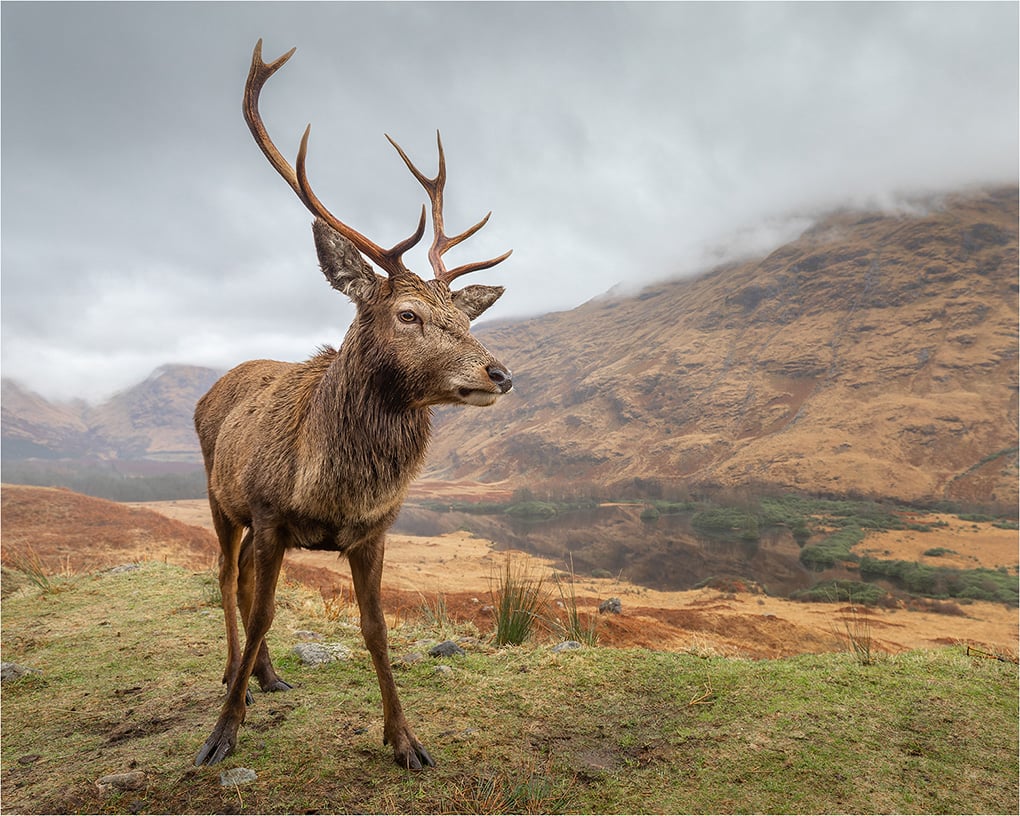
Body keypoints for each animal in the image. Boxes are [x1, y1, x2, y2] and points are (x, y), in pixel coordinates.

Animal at [193, 40, 513, 771]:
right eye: (407, 314)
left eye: (464, 315)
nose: (500, 372)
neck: (327, 488)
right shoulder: (270, 514)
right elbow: (265, 610)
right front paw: (221, 734)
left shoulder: (374, 531)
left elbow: (376, 628)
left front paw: (406, 740)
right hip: (220, 496)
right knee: (225, 577)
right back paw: (233, 674)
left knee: (241, 580)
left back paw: (267, 674)